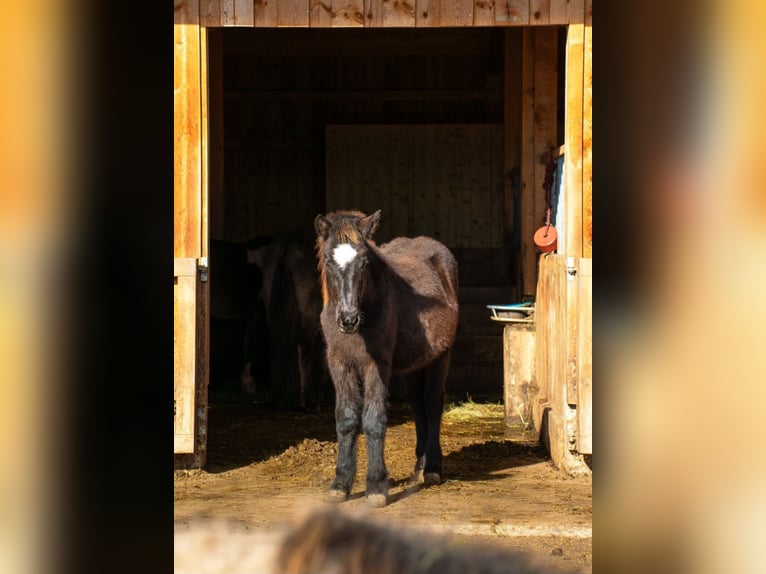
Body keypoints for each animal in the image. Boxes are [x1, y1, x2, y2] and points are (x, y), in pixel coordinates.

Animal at [314, 209, 459, 507]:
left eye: (363, 262)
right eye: (329, 261)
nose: (348, 320)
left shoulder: (376, 366)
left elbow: (373, 420)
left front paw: (376, 488)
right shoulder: (339, 364)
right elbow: (346, 419)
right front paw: (340, 485)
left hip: (441, 357)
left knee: (432, 401)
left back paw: (433, 470)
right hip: (413, 364)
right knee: (417, 403)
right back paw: (419, 468)